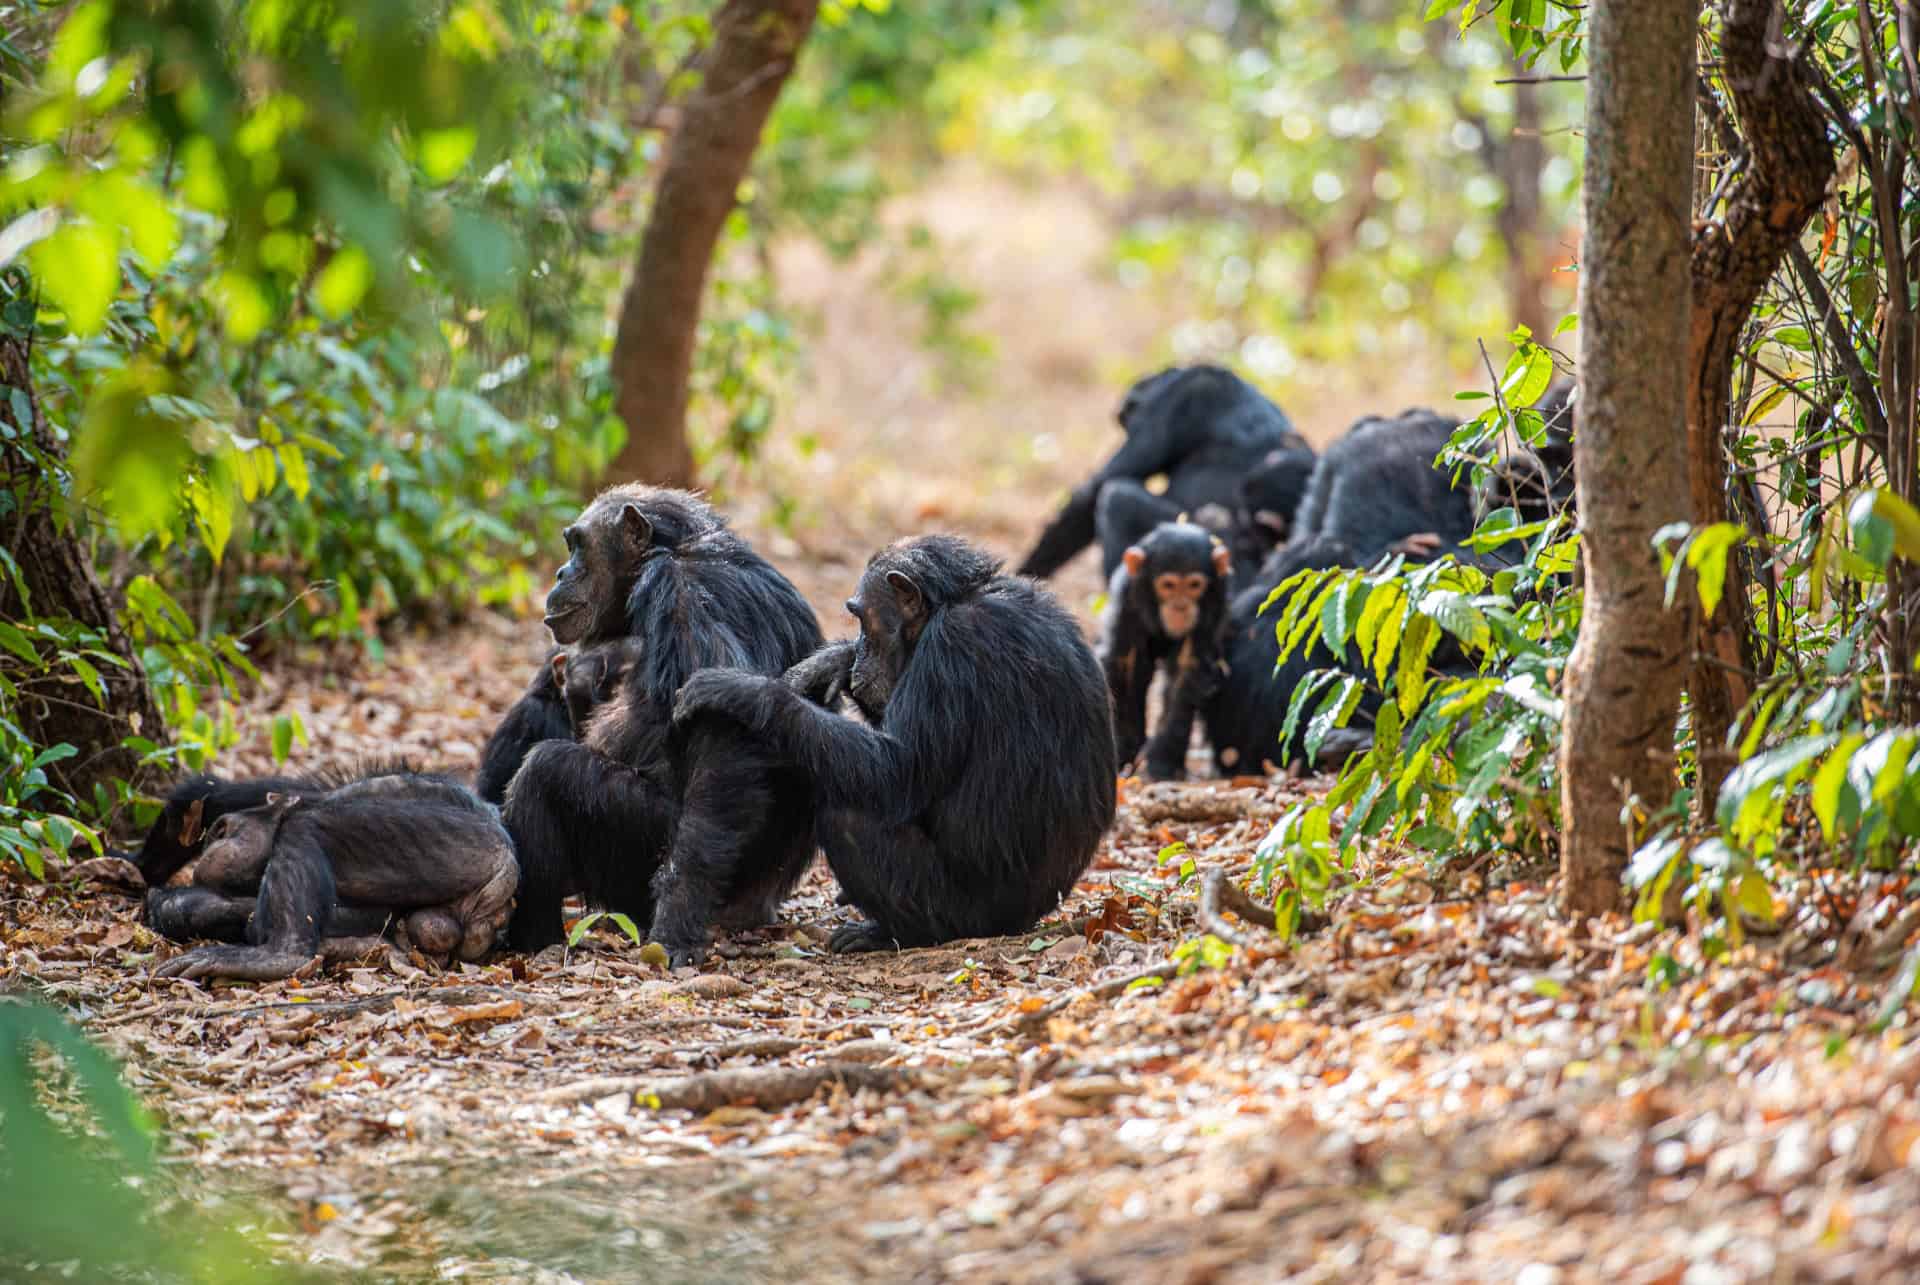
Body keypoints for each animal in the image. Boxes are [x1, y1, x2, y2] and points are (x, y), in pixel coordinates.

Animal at [499, 485, 821, 948]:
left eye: (578, 545)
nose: (561, 573)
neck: (671, 550)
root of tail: (757, 907)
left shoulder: (681, 594)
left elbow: (721, 732)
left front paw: (678, 913)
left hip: (643, 850)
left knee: (546, 770)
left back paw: (532, 941)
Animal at [675, 530, 1121, 952]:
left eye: (861, 618)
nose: (859, 652)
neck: (956, 600)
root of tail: (1026, 921)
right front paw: (832, 661)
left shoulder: (950, 646)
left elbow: (898, 769)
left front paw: (747, 692)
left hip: (962, 912)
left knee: (847, 813)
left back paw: (891, 934)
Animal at [1105, 522, 1236, 783]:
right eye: (1168, 585)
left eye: (1194, 585)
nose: (1180, 606)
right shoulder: (1128, 595)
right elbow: (1126, 664)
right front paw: (1125, 754)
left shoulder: (1213, 604)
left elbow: (1185, 673)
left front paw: (1161, 762)